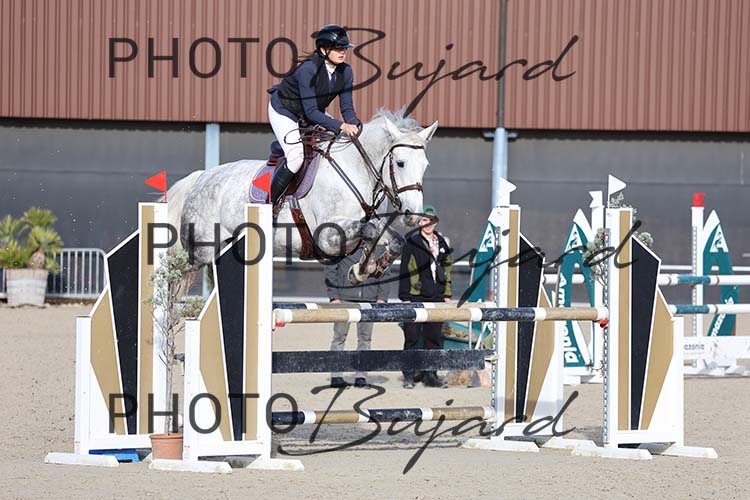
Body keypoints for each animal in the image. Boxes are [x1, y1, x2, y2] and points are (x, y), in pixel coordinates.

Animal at [167, 109, 438, 283]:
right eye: (400, 163)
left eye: (426, 165)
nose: (412, 216)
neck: (353, 169)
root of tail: (201, 178)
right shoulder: (327, 237)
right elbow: (369, 231)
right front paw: (363, 268)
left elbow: (390, 238)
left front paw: (367, 268)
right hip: (200, 252)